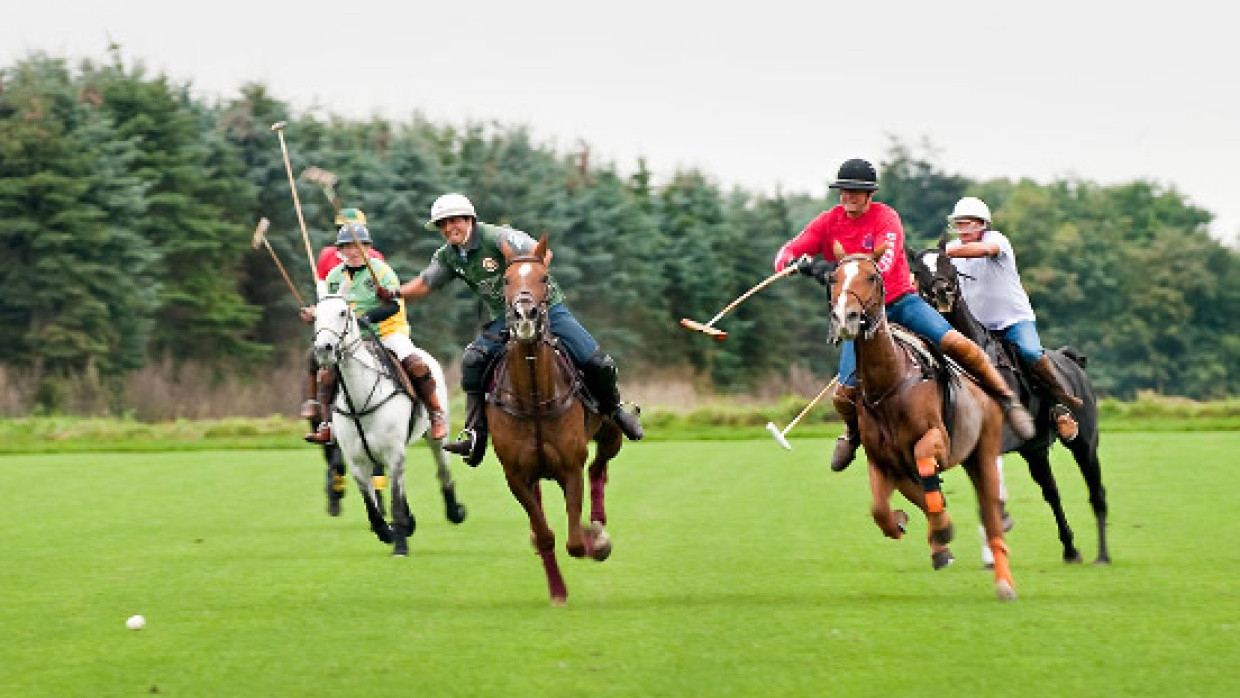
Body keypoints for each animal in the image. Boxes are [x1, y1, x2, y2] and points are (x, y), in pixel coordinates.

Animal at [314, 291, 461, 557]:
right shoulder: (357, 460)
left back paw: (455, 511)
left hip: (435, 436)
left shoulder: (394, 453)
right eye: (316, 315)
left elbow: (395, 501)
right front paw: (386, 531)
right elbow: (371, 503)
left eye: (343, 312)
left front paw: (400, 545)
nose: (323, 349)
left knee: (442, 469)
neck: (359, 401)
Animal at [483, 234, 620, 607]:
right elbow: (545, 534)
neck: (533, 399)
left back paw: (599, 527)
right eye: (505, 280)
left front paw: (594, 541)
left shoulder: (570, 467)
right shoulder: (516, 475)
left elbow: (574, 539)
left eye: (544, 277)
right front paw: (558, 591)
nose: (525, 315)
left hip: (610, 433)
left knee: (598, 468)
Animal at [828, 241, 1011, 600]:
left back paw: (1004, 583)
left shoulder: (937, 438)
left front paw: (941, 530)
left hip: (984, 450)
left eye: (872, 276)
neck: (890, 381)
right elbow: (881, 509)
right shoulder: (884, 462)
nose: (845, 318)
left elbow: (927, 462)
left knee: (991, 511)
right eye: (833, 277)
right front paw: (905, 522)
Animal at [907, 244, 1111, 562]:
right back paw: (1070, 549)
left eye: (949, 264)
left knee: (1096, 492)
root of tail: (1072, 361)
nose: (943, 291)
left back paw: (1102, 556)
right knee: (1052, 493)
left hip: (1085, 442)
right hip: (1035, 451)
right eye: (917, 271)